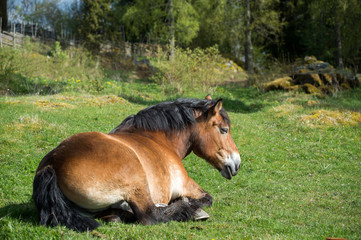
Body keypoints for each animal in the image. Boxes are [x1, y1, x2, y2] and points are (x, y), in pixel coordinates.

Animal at [32, 94, 240, 232]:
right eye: (224, 129)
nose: (236, 164)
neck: (158, 139)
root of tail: (53, 162)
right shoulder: (187, 184)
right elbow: (207, 198)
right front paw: (190, 204)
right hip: (137, 182)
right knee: (149, 215)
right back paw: (189, 210)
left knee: (114, 215)